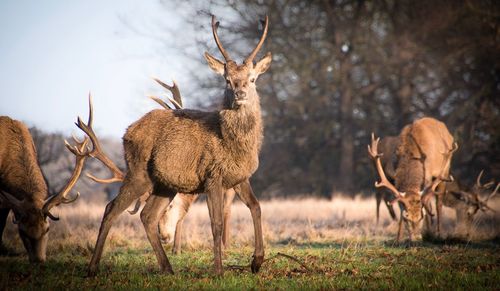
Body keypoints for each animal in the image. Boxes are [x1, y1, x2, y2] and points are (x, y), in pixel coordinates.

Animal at [87, 15, 274, 276]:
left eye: (253, 79)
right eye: (227, 80)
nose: (240, 93)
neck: (235, 146)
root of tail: (127, 132)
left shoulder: (240, 177)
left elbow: (256, 207)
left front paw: (256, 261)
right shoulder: (212, 176)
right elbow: (216, 223)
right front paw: (219, 271)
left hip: (164, 183)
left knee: (147, 215)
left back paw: (167, 267)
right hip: (137, 172)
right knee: (111, 208)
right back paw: (92, 267)